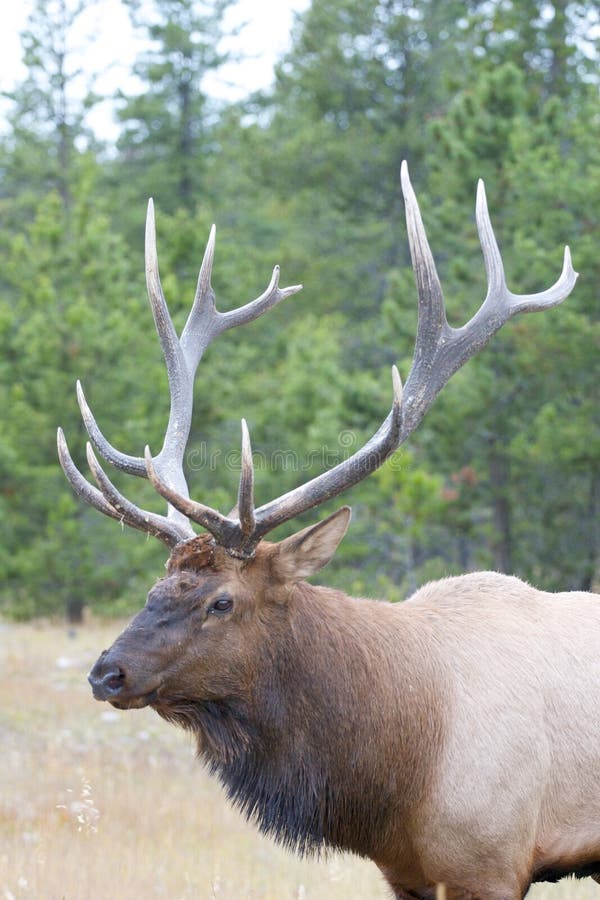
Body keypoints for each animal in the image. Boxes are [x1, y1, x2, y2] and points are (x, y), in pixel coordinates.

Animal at [58, 162, 600, 900]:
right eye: (155, 589)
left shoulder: (491, 862)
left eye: (222, 601)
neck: (401, 768)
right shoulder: (404, 872)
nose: (107, 672)